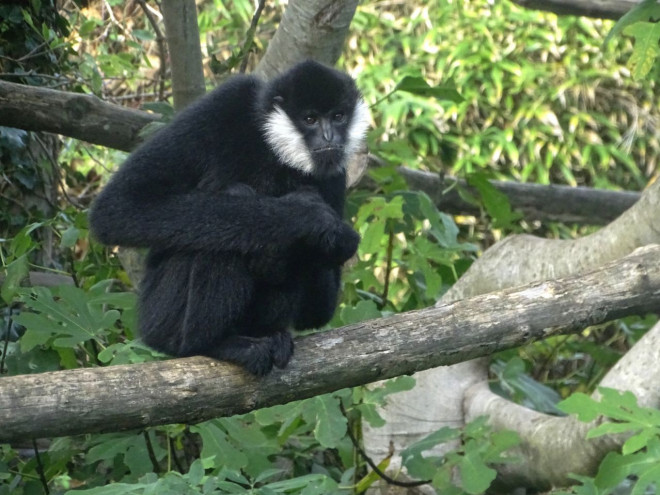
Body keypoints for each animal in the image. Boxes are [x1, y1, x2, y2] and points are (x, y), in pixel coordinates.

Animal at [89, 59, 372, 376]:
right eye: (310, 119)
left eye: (338, 116)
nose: (329, 136)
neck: (274, 148)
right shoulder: (227, 101)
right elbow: (118, 207)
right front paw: (306, 215)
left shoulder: (335, 171)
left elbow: (317, 313)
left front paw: (328, 236)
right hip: (160, 317)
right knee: (221, 239)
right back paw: (213, 344)